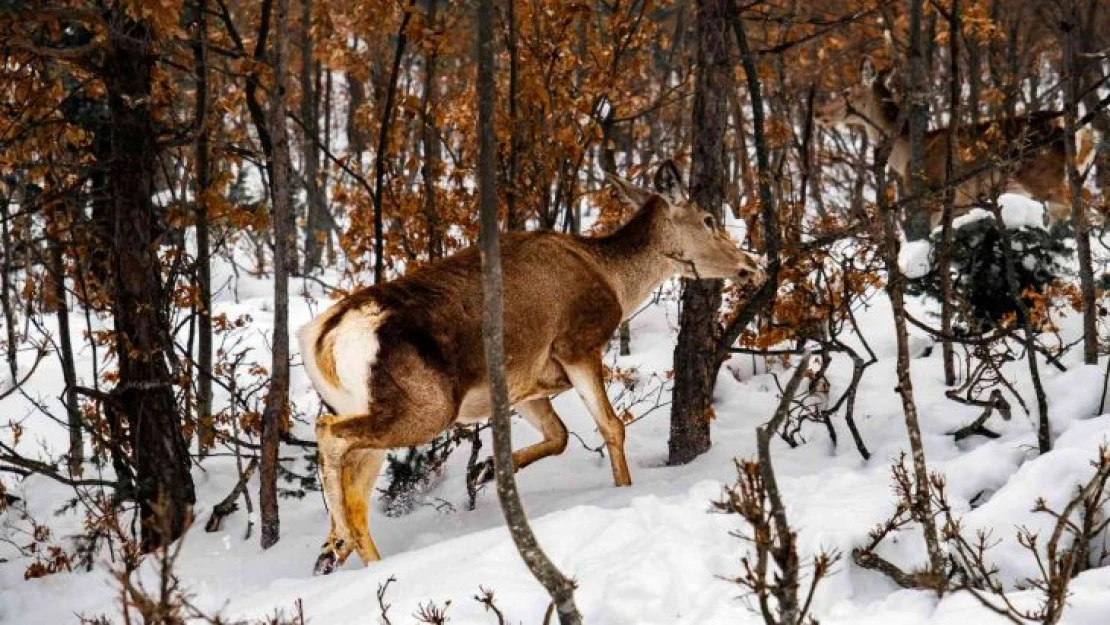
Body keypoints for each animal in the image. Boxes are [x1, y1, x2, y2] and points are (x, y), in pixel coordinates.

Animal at [295, 158, 768, 572]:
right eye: (708, 218)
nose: (753, 264)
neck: (614, 280)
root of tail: (323, 338)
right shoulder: (578, 342)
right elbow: (612, 426)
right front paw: (623, 491)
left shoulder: (523, 384)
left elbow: (559, 436)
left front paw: (485, 470)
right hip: (427, 405)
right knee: (329, 435)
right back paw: (340, 543)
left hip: (370, 408)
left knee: (356, 491)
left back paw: (340, 551)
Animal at [812, 58, 1096, 236]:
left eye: (846, 92)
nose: (818, 113)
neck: (904, 153)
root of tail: (1078, 130)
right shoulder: (962, 203)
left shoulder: (933, 194)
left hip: (1042, 174)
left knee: (1073, 203)